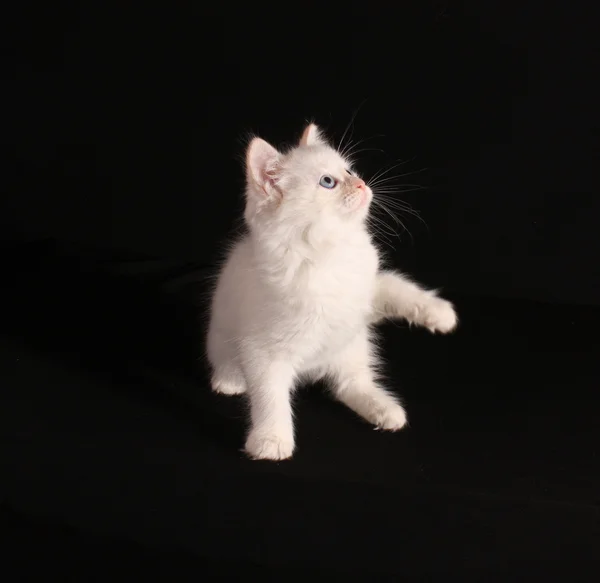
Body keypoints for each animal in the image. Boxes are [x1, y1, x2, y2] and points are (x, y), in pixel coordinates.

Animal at [207, 123, 460, 460]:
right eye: (328, 182)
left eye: (349, 170)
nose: (362, 184)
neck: (329, 250)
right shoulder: (263, 350)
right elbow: (269, 396)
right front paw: (271, 440)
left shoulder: (366, 293)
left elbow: (402, 290)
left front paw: (441, 315)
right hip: (223, 337)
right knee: (228, 363)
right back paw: (229, 380)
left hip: (353, 345)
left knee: (349, 385)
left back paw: (385, 410)